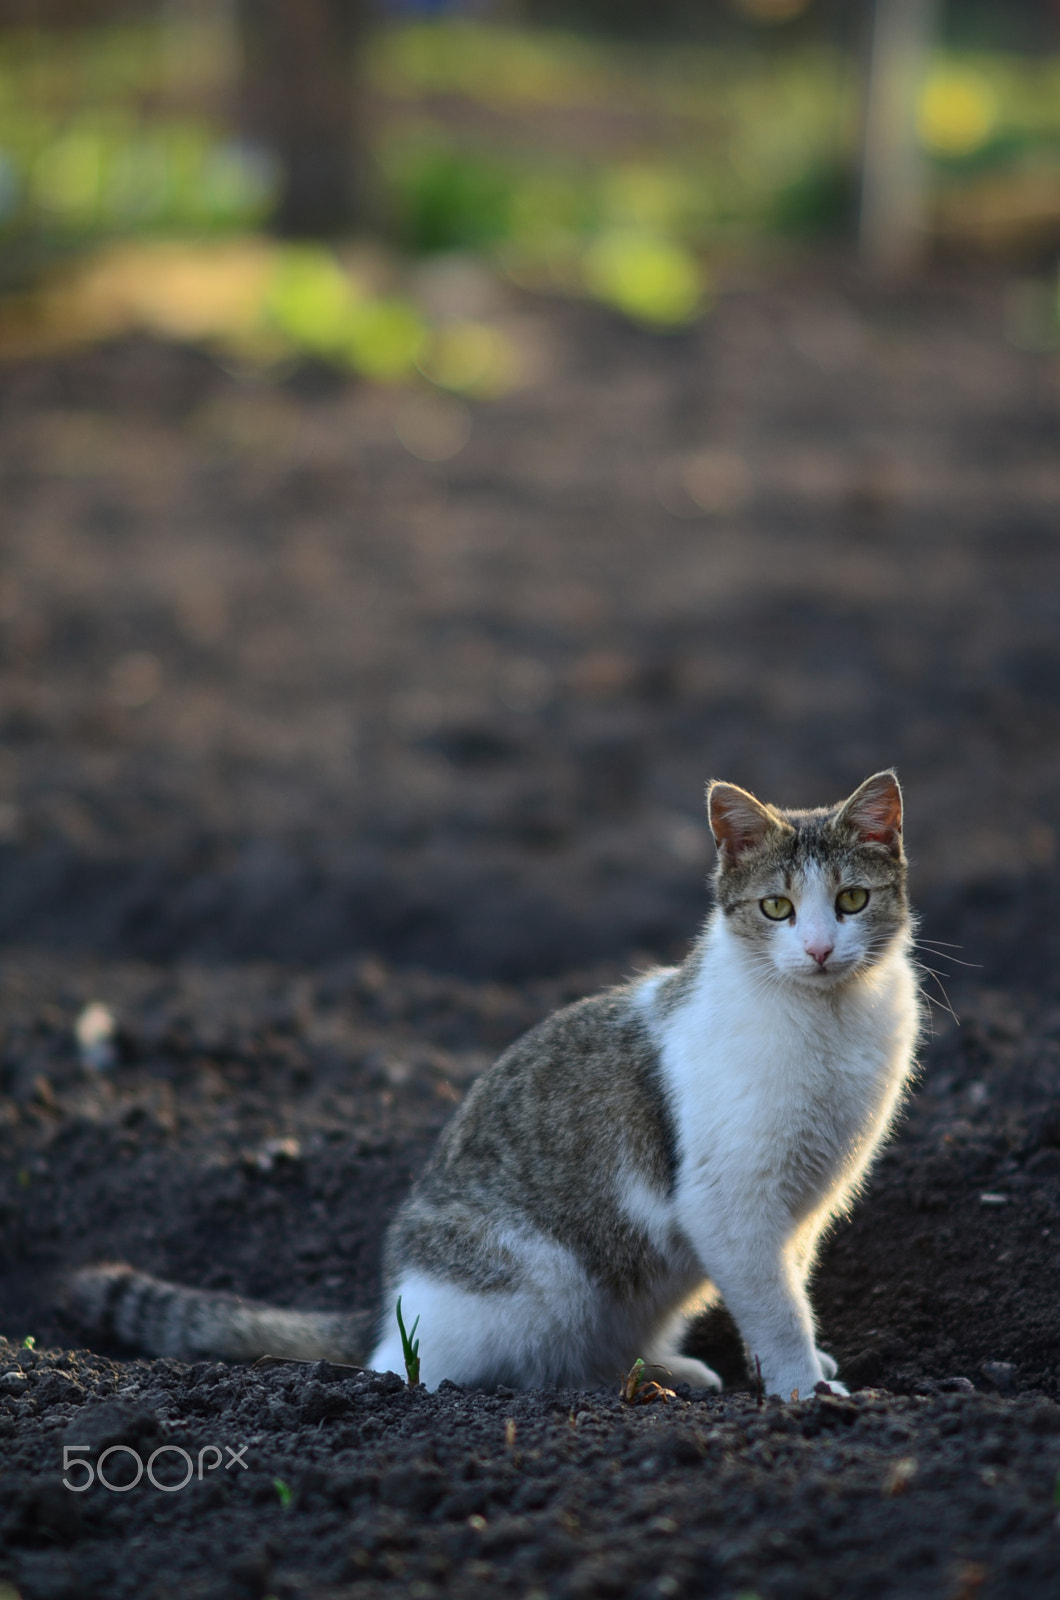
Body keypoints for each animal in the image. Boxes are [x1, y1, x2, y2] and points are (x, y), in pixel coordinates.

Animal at [72, 774, 922, 1401]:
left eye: (851, 901)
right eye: (777, 907)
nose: (819, 950)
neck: (827, 1019)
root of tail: (388, 1303)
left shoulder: (799, 1208)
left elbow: (785, 1287)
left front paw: (796, 1369)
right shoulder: (731, 1201)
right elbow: (774, 1305)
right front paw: (803, 1391)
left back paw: (663, 1371)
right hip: (539, 1282)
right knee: (447, 1368)